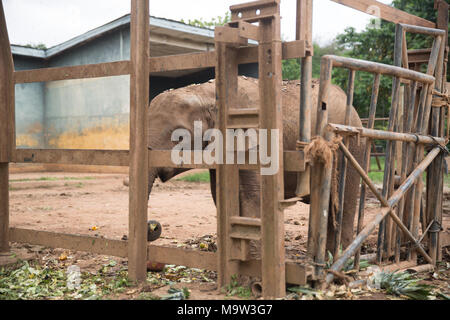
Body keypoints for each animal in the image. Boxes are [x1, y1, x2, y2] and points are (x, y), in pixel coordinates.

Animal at [146, 77, 364, 252]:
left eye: (178, 135)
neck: (208, 93)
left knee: (343, 204)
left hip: (349, 148)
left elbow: (252, 198)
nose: (154, 226)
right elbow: (222, 198)